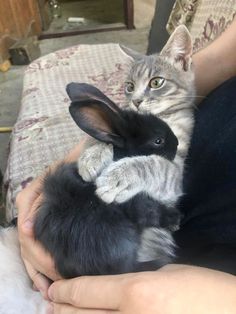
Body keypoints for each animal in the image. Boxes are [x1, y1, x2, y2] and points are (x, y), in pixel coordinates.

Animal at [78, 25, 195, 211]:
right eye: (130, 86)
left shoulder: (176, 166)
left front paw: (119, 176)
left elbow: (156, 165)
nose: (136, 101)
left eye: (156, 82)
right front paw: (92, 155)